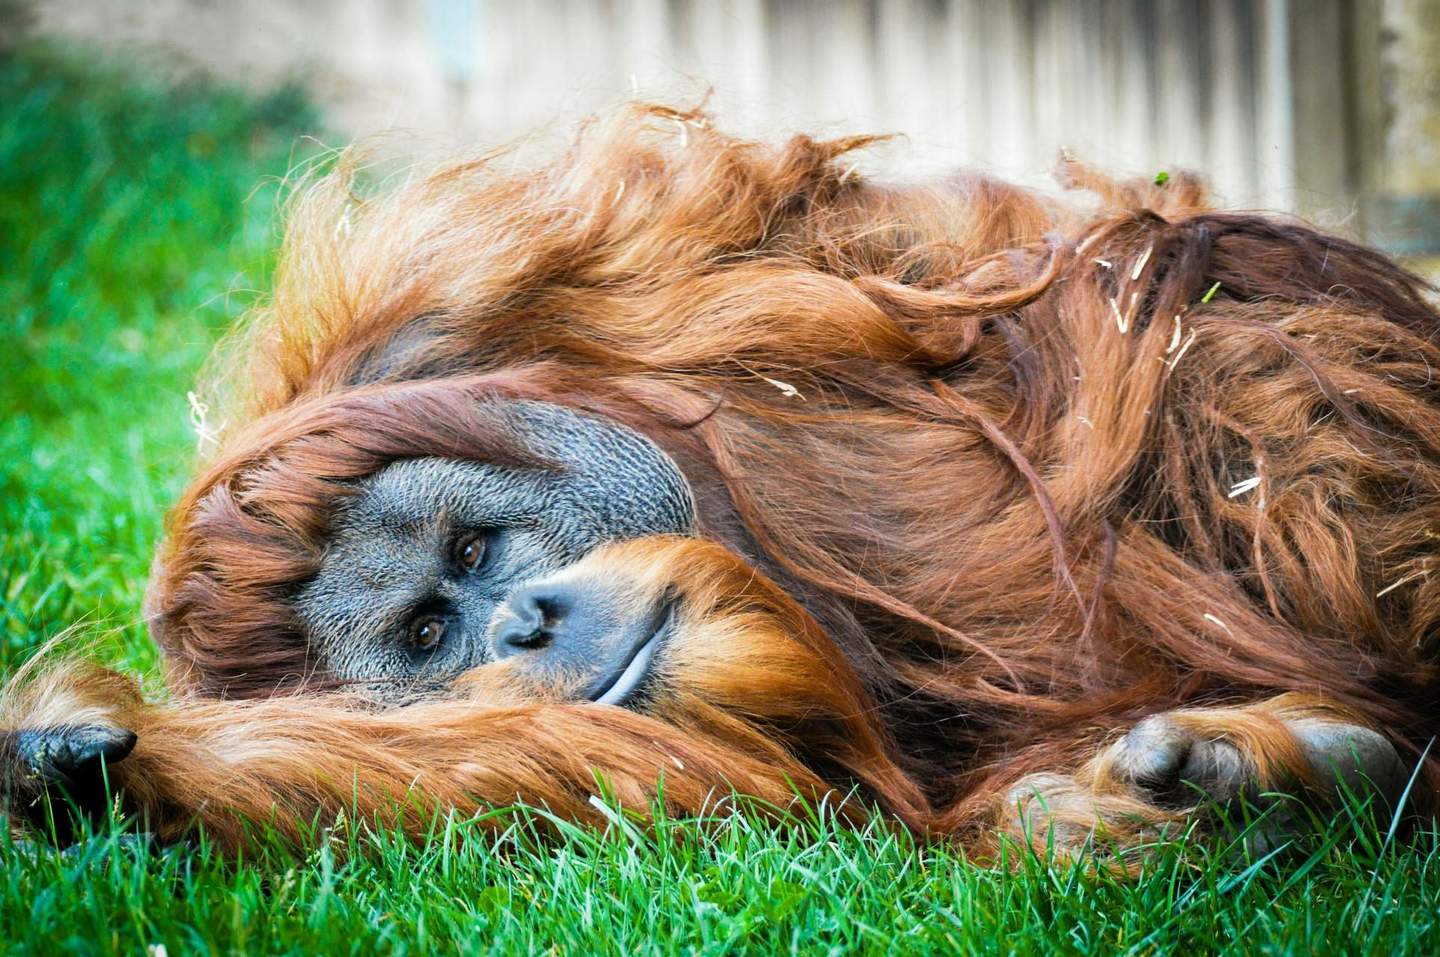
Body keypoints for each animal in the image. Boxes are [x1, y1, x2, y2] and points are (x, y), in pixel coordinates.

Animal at [3, 104, 1437, 861]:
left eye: (470, 554)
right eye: (424, 634)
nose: (521, 620)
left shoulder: (478, 283)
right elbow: (621, 768)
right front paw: (70, 758)